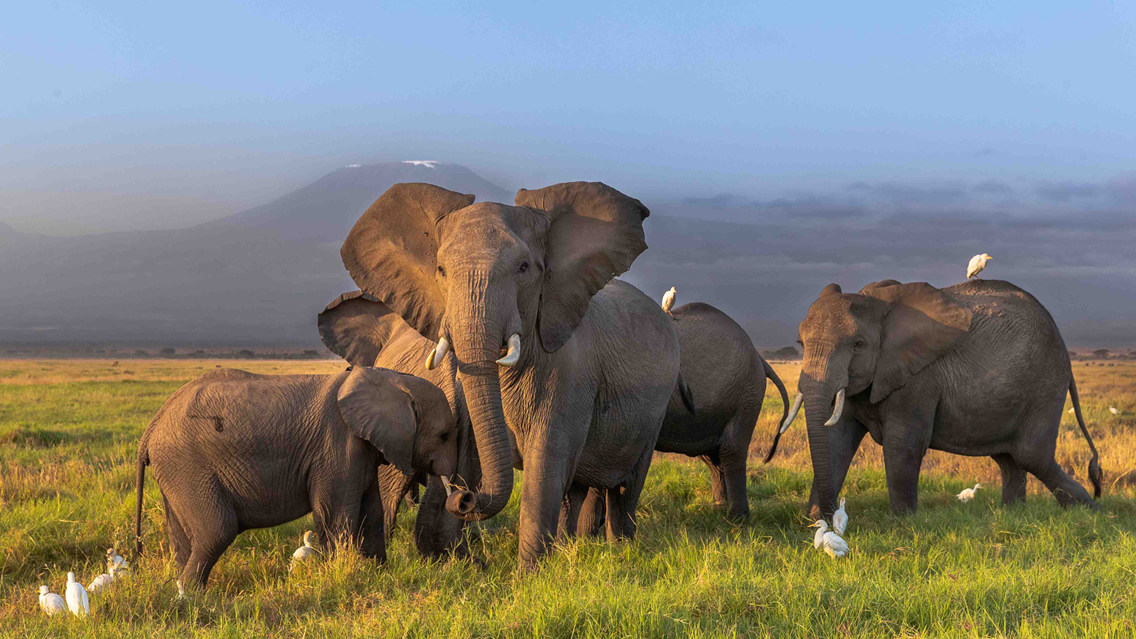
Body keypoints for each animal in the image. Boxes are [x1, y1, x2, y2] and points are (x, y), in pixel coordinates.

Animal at [133, 366, 457, 588]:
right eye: (444, 436)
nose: (460, 498)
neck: (390, 379)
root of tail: (152, 427)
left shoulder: (361, 449)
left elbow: (372, 514)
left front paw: (379, 576)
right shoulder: (337, 445)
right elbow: (337, 516)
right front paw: (344, 577)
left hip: (175, 471)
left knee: (183, 538)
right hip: (186, 464)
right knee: (218, 529)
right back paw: (189, 596)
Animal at [338, 181, 682, 568]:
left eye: (523, 267)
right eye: (440, 269)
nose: (463, 497)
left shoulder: (570, 373)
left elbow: (544, 464)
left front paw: (530, 575)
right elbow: (469, 450)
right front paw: (461, 566)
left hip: (657, 407)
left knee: (625, 488)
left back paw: (620, 550)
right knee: (578, 490)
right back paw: (574, 548)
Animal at [562, 301, 792, 532]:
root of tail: (760, 358)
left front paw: (587, 535)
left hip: (746, 395)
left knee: (731, 451)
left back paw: (737, 521)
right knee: (714, 458)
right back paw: (719, 511)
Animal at [778, 278, 1102, 521]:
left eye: (858, 345)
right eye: (800, 344)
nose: (830, 515)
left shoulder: (919, 376)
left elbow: (902, 443)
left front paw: (902, 522)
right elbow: (836, 441)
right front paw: (817, 522)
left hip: (1046, 383)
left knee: (1031, 455)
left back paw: (1090, 512)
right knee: (1009, 459)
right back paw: (1013, 516)